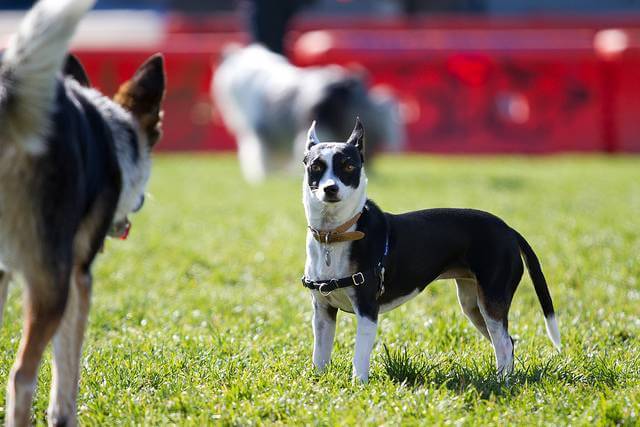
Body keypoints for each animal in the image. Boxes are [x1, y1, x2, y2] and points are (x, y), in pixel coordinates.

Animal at [0, 1, 165, 426]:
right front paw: (63, 416)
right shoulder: (77, 275)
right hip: (52, 277)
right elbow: (66, 364)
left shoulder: (3, 273)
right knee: (22, 376)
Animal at [302, 118, 560, 384]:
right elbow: (320, 354)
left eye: (349, 166)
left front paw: (359, 385)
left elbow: (359, 356)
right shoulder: (322, 312)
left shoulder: (367, 311)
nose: (330, 189)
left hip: (492, 301)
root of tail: (509, 230)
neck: (336, 234)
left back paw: (501, 382)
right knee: (508, 341)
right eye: (316, 166)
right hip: (473, 304)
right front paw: (318, 381)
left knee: (505, 345)